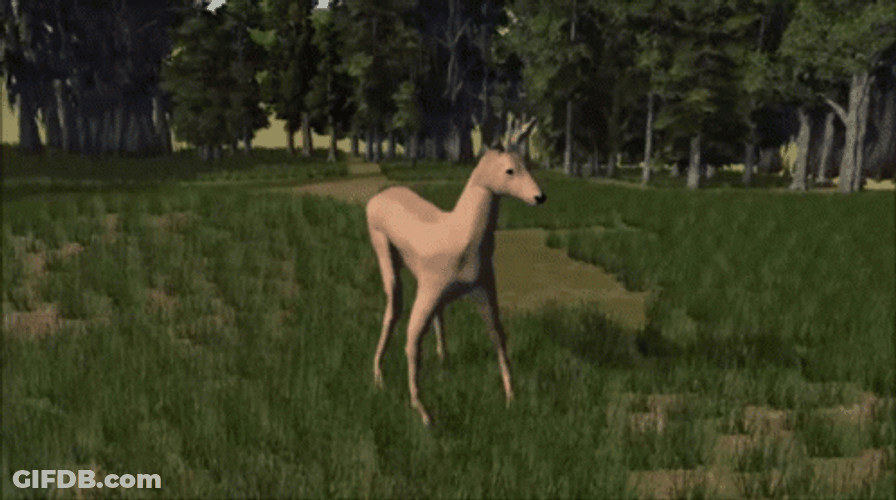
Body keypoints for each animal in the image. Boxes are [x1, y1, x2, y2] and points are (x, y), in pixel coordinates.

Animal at [365, 118, 545, 425]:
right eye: (509, 170)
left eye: (528, 164)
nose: (539, 196)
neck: (463, 240)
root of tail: (376, 198)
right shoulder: (430, 291)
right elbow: (413, 342)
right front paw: (423, 412)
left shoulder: (485, 289)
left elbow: (499, 336)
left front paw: (512, 399)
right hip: (385, 254)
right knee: (394, 307)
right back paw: (378, 376)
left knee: (434, 317)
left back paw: (443, 361)